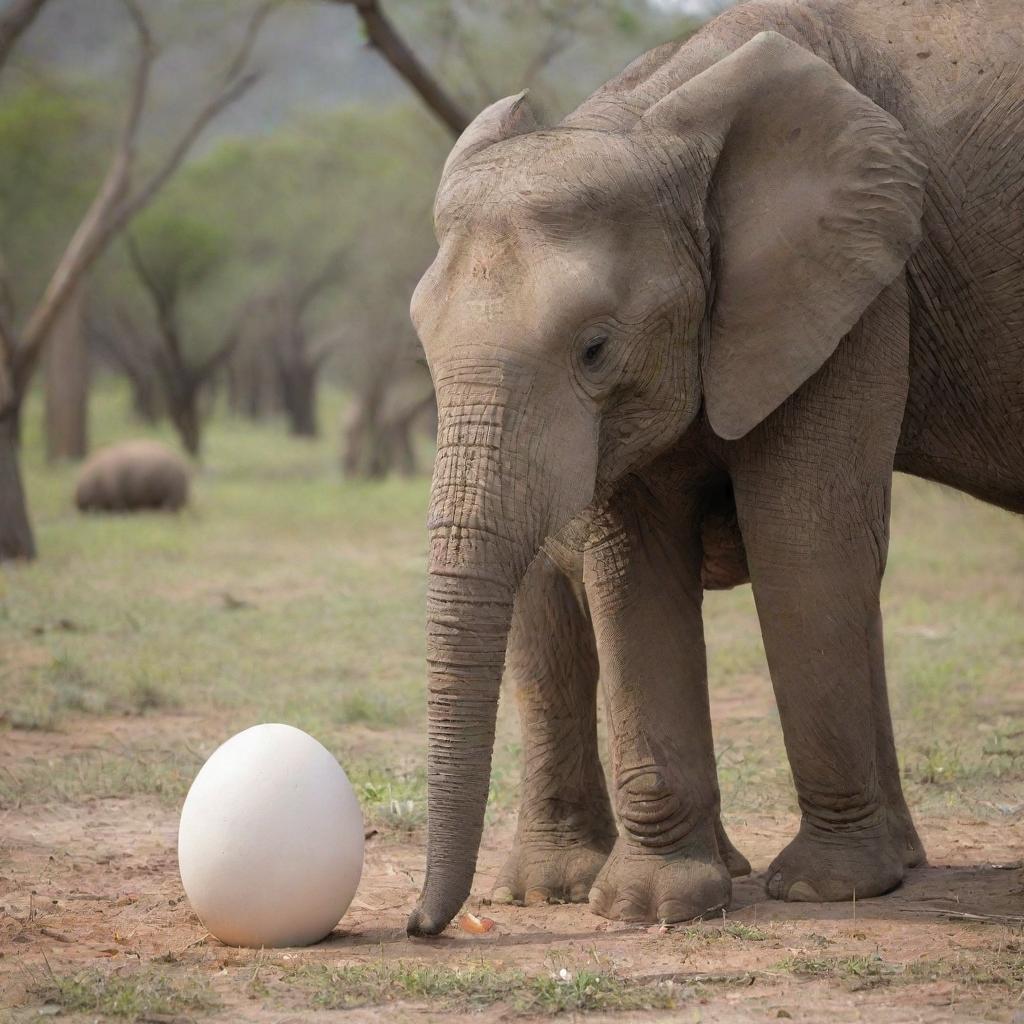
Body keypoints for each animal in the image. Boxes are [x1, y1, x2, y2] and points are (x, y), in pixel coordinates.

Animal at [403, 0, 1024, 937]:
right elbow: (632, 566)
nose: (419, 925)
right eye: (423, 348)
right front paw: (654, 906)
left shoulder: (858, 288)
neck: (656, 120)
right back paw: (561, 889)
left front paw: (826, 892)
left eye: (595, 349)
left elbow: (803, 544)